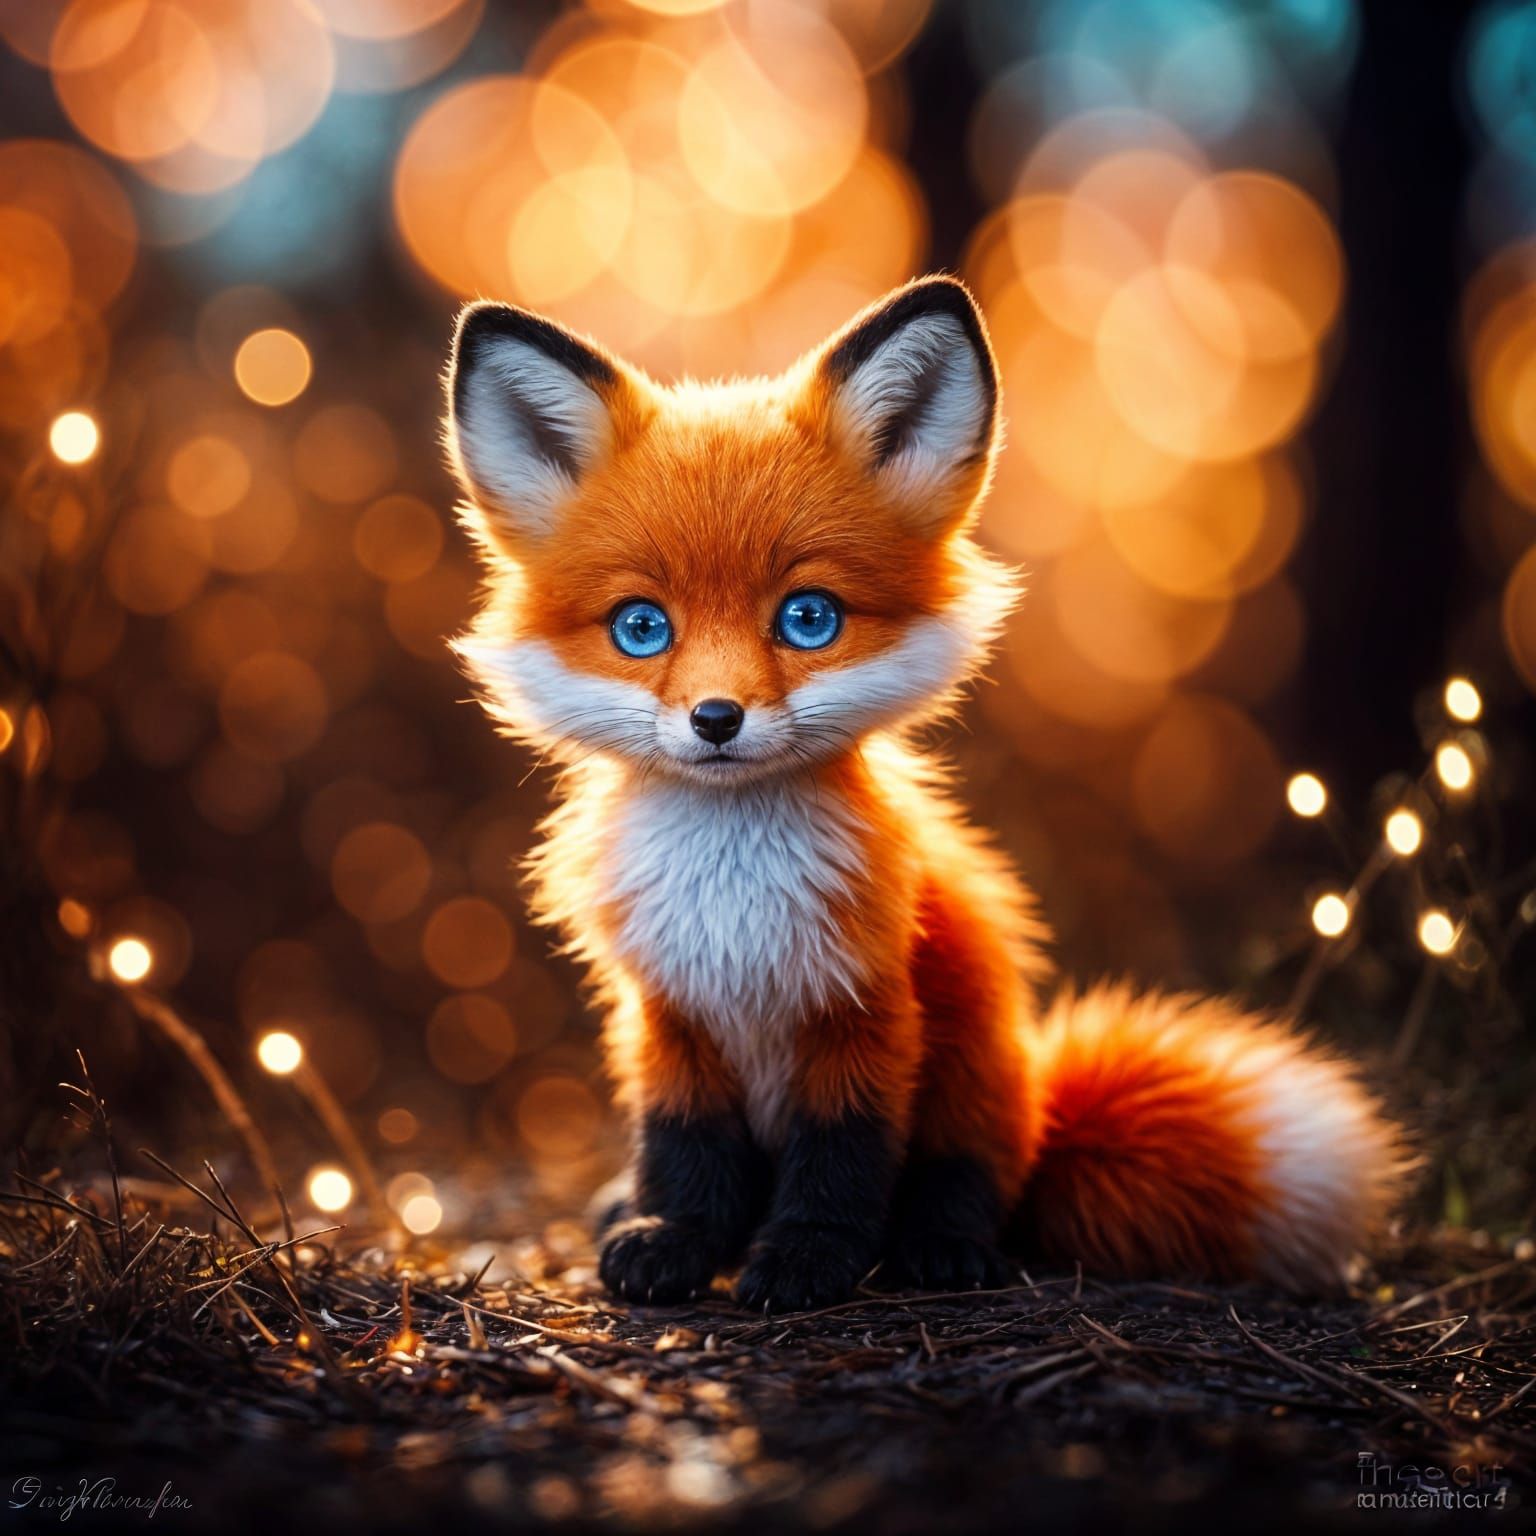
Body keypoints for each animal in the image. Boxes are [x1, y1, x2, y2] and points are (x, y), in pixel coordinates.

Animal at [443, 275, 1406, 1312]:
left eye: (809, 618)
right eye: (640, 628)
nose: (716, 718)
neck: (735, 909)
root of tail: (1045, 1112)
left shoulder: (866, 1015)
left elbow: (842, 1161)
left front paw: (808, 1259)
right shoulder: (671, 1022)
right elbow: (687, 1157)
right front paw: (674, 1239)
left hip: (975, 1088)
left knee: (970, 1186)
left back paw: (942, 1248)